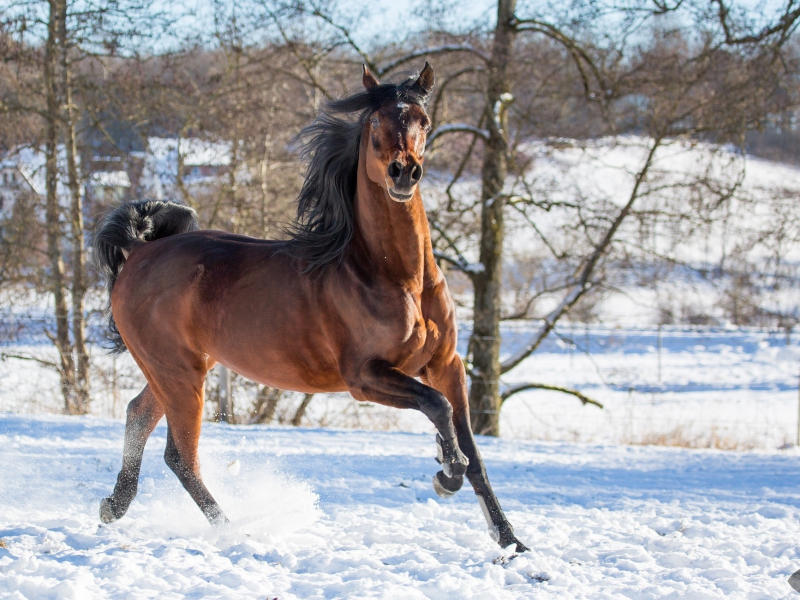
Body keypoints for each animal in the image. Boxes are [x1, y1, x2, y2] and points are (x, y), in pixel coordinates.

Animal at [94, 63, 528, 552]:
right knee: (180, 456)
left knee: (138, 417)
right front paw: (445, 473)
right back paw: (236, 529)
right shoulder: (365, 376)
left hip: (181, 369)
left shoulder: (446, 364)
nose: (403, 173)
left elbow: (473, 451)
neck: (398, 276)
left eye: (424, 121)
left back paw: (113, 506)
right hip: (178, 375)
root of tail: (140, 251)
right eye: (375, 123)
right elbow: (437, 409)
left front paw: (510, 540)